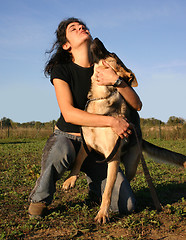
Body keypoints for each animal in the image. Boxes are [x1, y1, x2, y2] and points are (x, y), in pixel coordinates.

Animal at [62, 37, 186, 223]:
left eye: (112, 54)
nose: (96, 38)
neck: (101, 97)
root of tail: (140, 135)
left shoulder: (112, 158)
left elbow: (108, 191)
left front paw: (103, 213)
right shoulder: (87, 144)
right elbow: (77, 161)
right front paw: (70, 179)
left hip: (131, 164)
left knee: (125, 180)